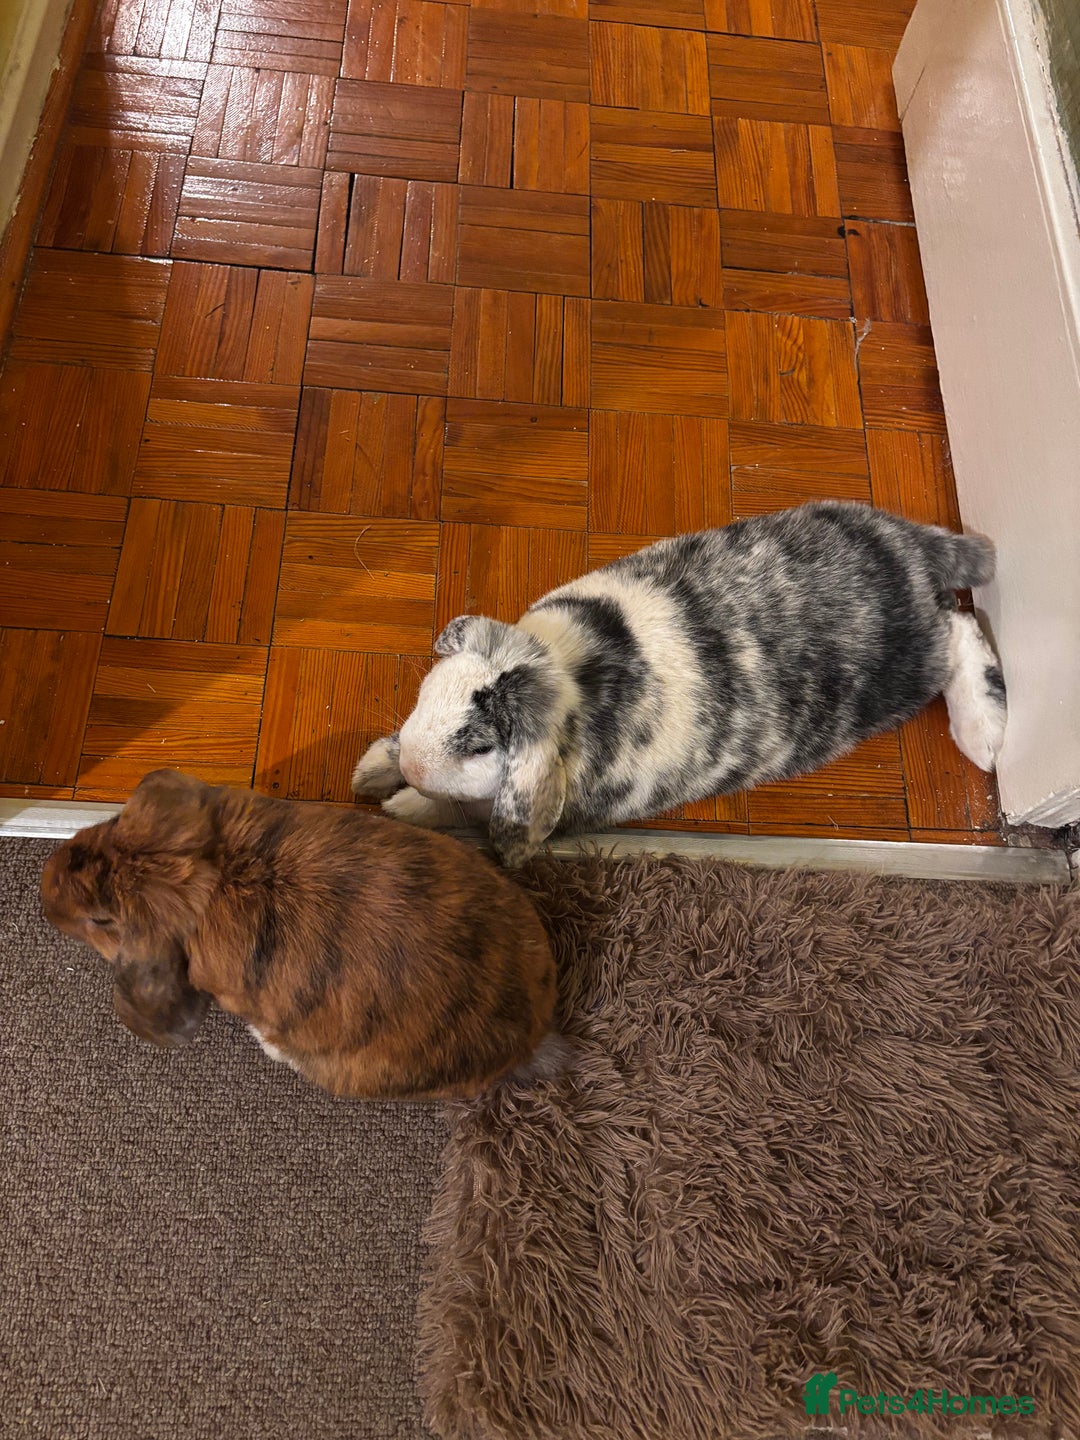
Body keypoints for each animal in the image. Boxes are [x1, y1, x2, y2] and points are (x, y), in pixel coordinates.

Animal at [352, 501, 1007, 867]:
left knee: (960, 628)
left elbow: (459, 810)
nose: (412, 764)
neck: (566, 673)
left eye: (481, 746)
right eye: (430, 693)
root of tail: (909, 550)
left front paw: (399, 804)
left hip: (915, 666)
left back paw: (984, 736)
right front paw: (372, 772)